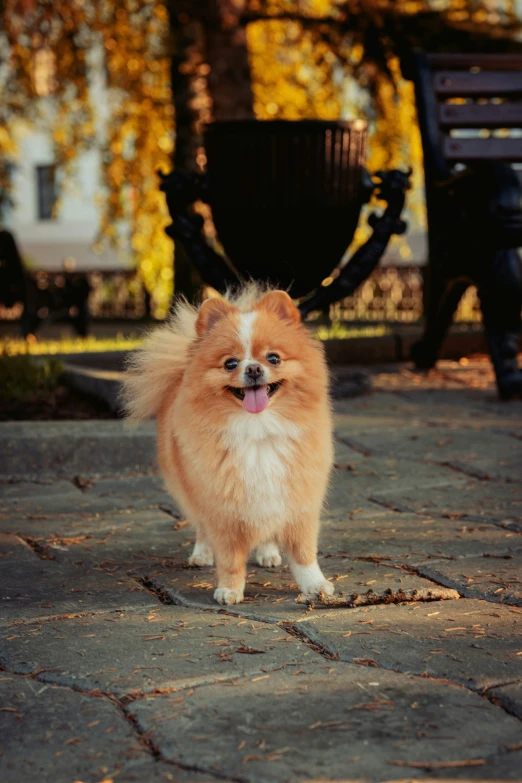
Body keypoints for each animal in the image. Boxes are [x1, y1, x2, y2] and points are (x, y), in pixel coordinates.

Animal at [122, 286, 334, 608]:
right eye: (230, 363)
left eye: (274, 358)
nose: (254, 369)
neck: (258, 431)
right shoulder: (221, 508)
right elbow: (230, 558)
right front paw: (230, 590)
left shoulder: (297, 500)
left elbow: (303, 554)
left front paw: (314, 585)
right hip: (189, 490)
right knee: (200, 527)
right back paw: (201, 554)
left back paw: (268, 552)